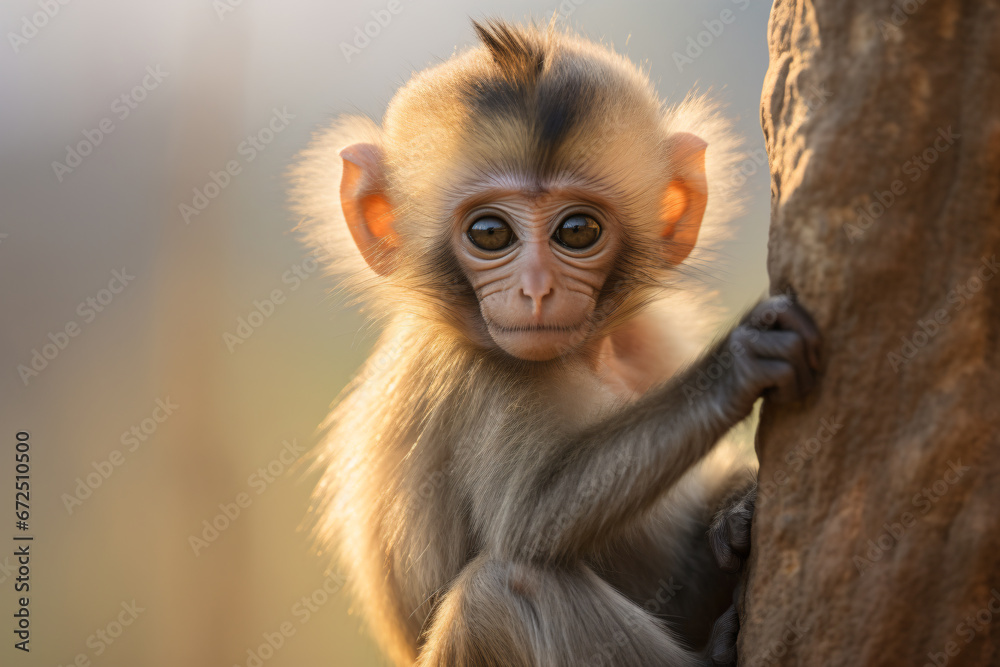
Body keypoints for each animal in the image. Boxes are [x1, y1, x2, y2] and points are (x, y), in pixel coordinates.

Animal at [291, 19, 821, 667]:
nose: (537, 289)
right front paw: (738, 365)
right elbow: (530, 520)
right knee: (501, 589)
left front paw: (737, 507)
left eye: (578, 230)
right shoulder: (485, 376)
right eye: (489, 233)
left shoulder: (647, 335)